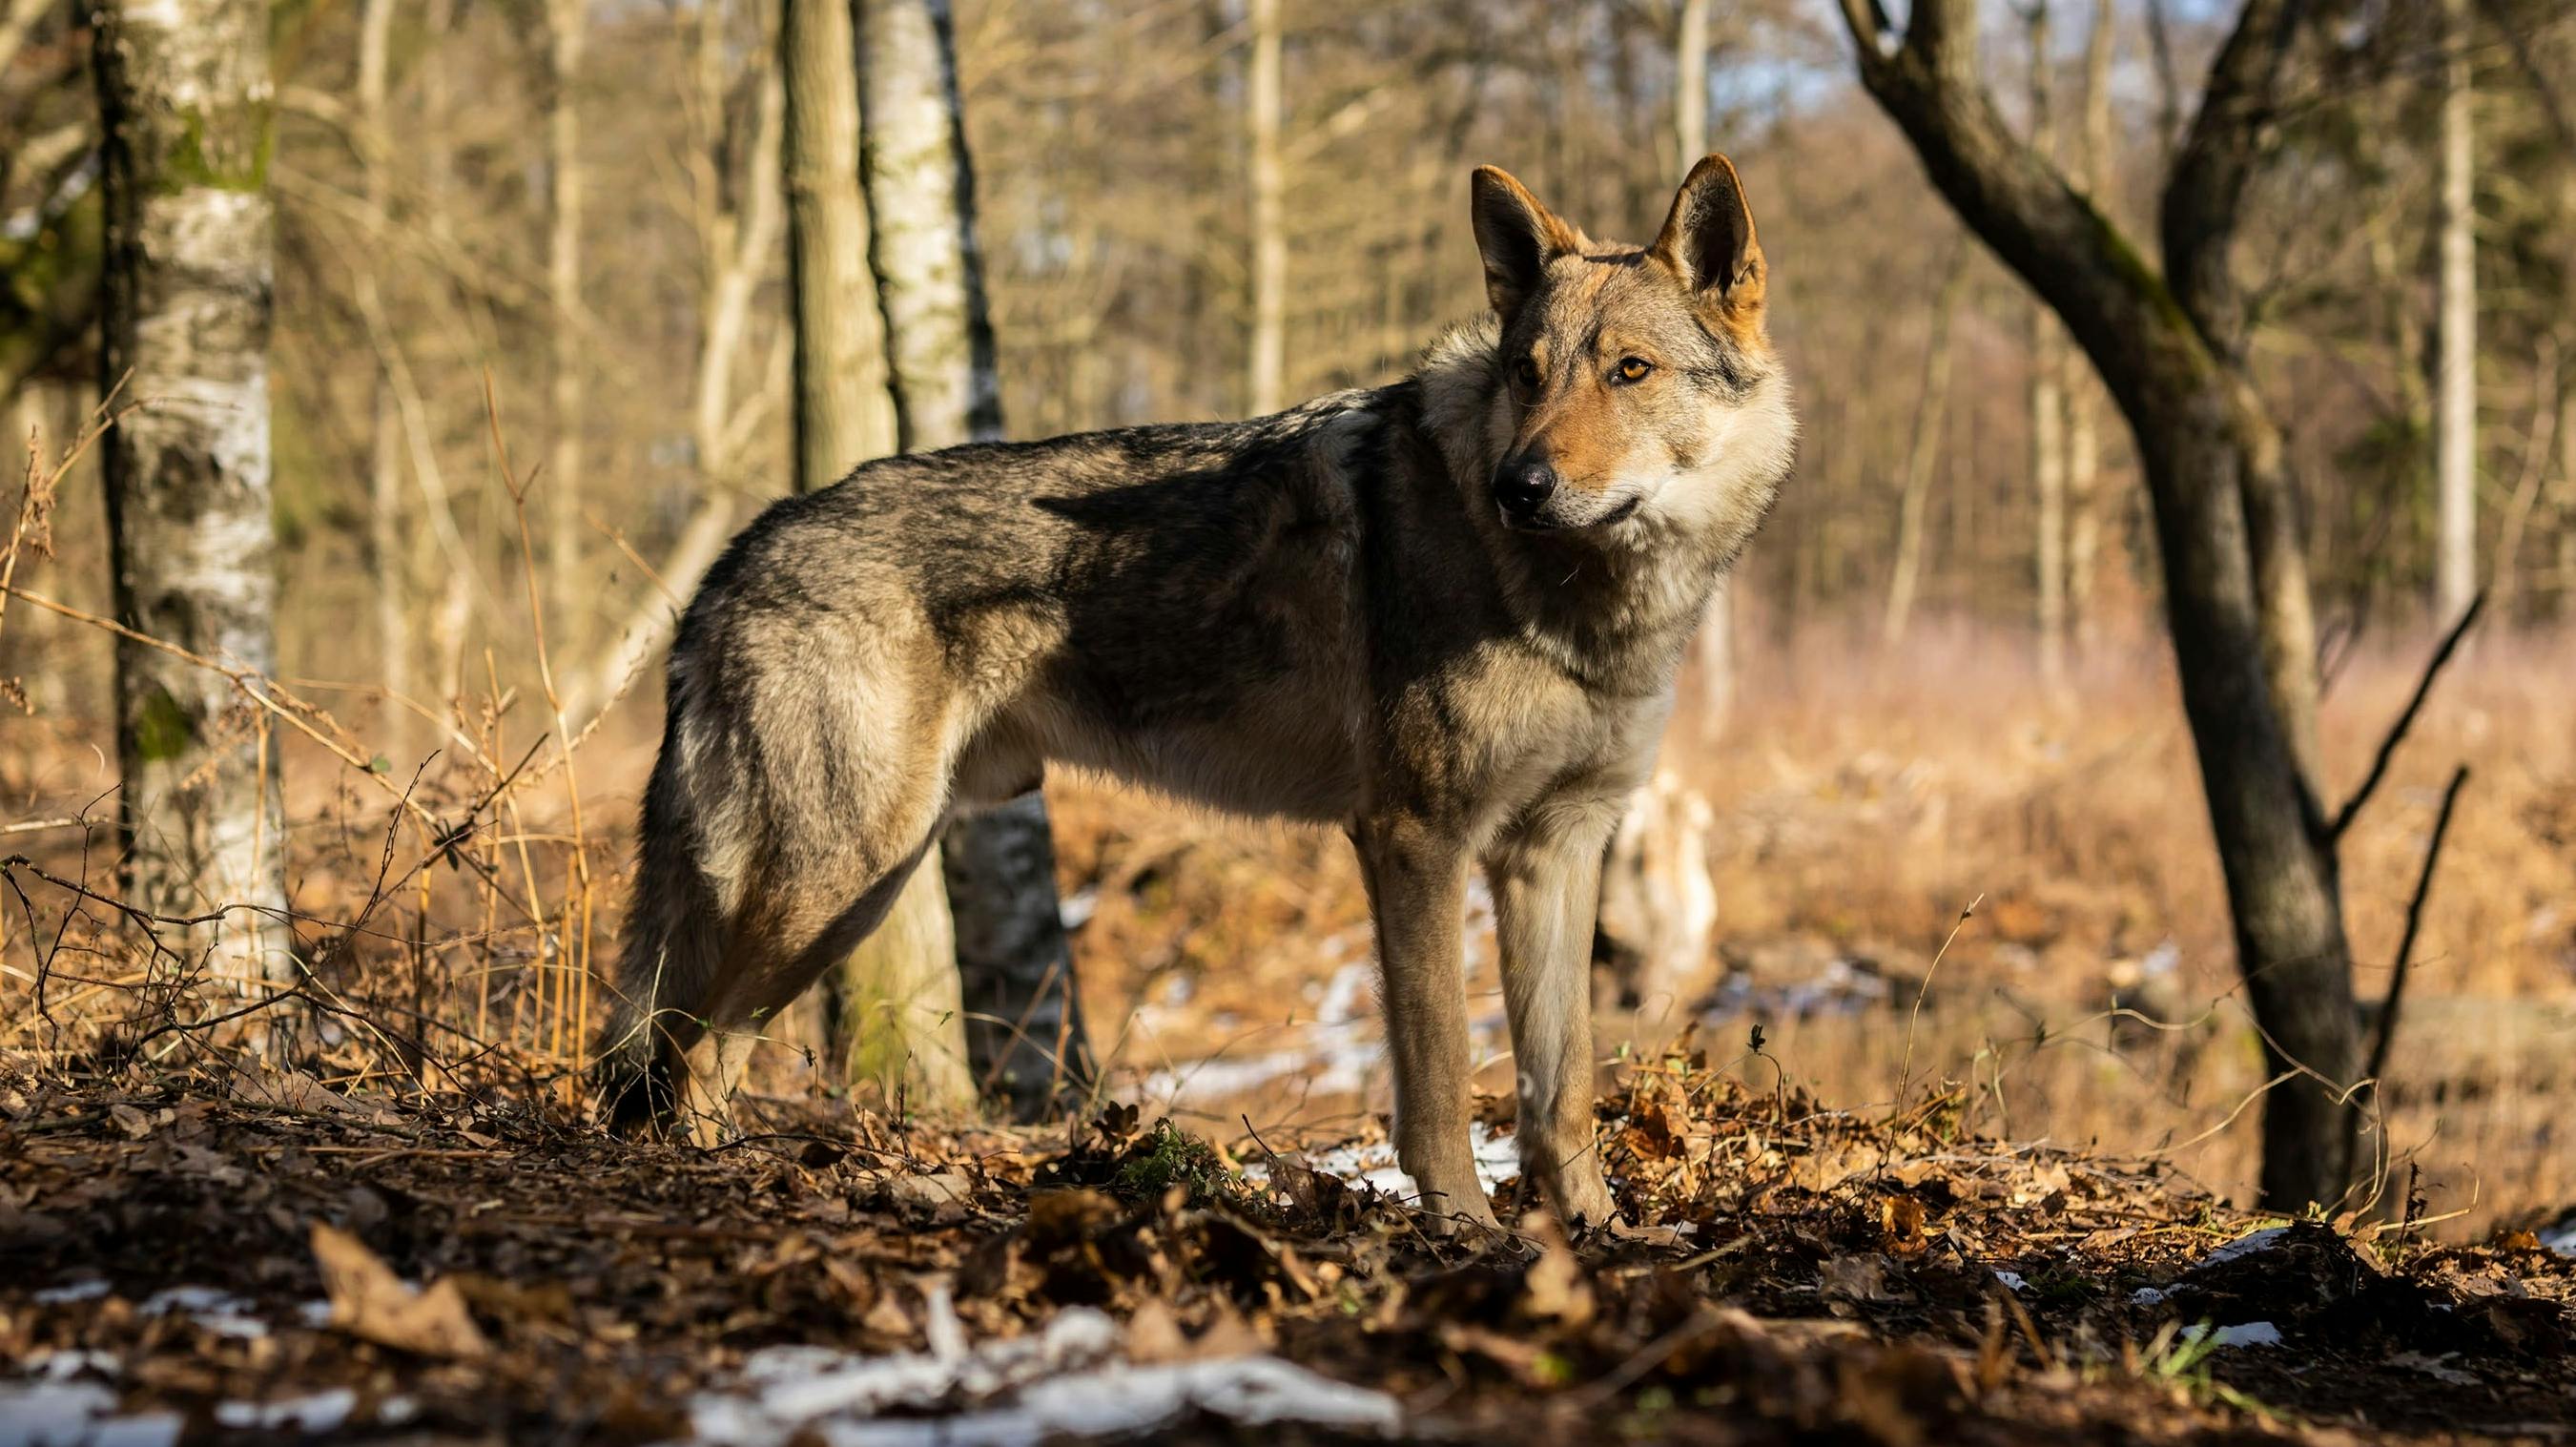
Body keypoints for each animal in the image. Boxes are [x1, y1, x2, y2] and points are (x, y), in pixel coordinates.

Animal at [605, 152, 1803, 1220]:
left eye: (1630, 371)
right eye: (1528, 373)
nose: (1522, 485)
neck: (1580, 603)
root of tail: (740, 548)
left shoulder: (1555, 850)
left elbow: (1562, 1088)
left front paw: (1592, 1232)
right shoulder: (1414, 839)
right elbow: (1440, 1083)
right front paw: (1464, 1227)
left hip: (859, 886)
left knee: (697, 1048)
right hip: (839, 873)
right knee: (685, 1052)